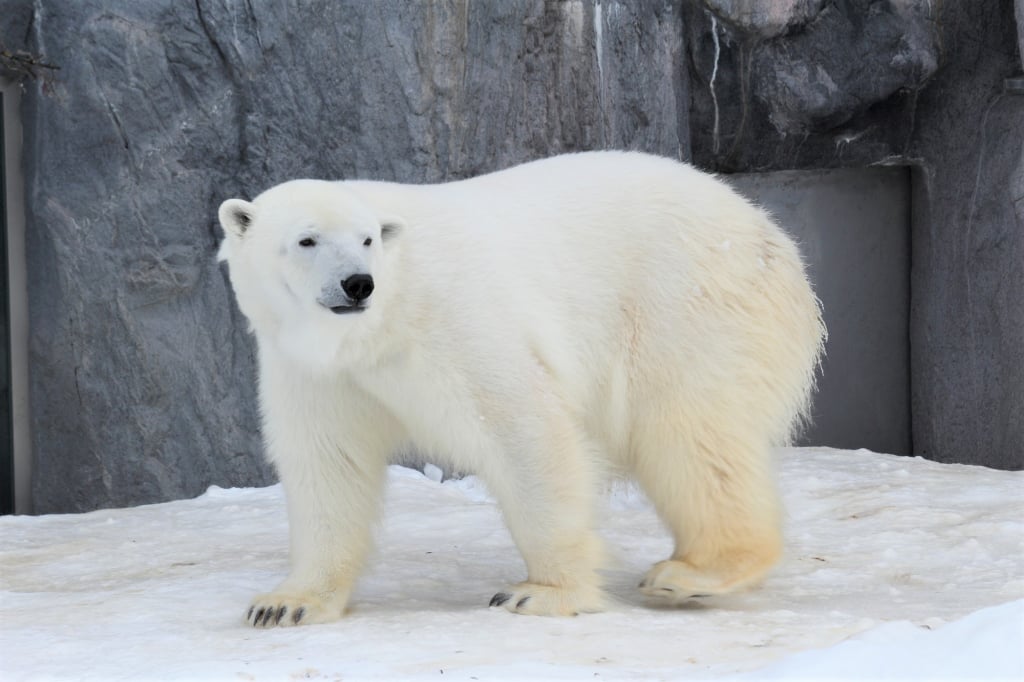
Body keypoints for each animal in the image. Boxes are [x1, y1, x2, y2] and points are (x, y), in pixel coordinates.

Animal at [216, 150, 823, 626]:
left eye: (367, 240)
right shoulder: (317, 371)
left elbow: (521, 426)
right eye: (306, 240)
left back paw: (694, 571)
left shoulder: (451, 318)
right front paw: (285, 603)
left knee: (689, 431)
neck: (378, 326)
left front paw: (542, 592)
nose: (357, 283)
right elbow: (329, 464)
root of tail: (769, 232)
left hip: (685, 301)